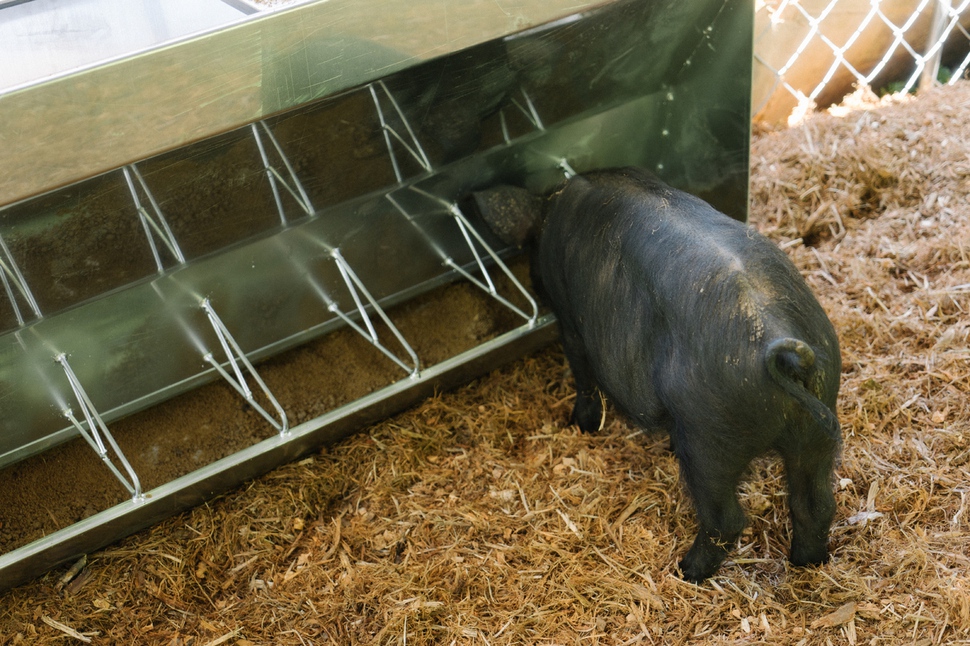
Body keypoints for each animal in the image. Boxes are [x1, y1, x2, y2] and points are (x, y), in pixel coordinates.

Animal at [472, 167, 836, 584]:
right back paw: (807, 562)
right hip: (817, 423)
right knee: (817, 504)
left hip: (710, 437)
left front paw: (580, 424)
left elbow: (582, 372)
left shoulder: (570, 321)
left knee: (726, 519)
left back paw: (686, 570)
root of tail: (779, 344)